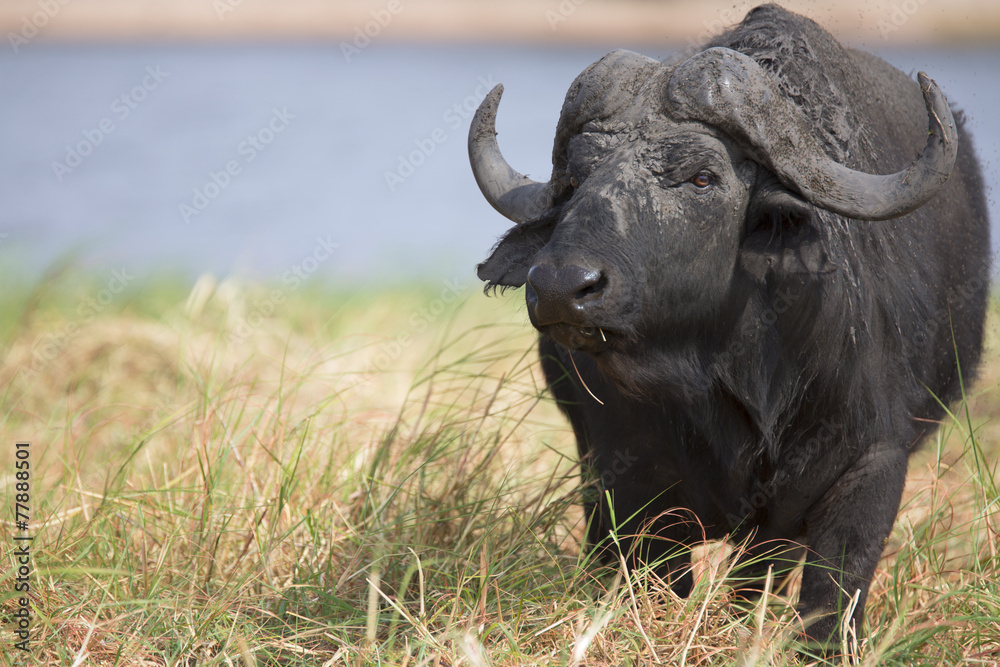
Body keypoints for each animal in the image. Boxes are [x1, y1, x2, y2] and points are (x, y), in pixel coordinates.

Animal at [467, 3, 990, 649]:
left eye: (701, 178)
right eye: (574, 181)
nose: (563, 286)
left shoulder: (871, 466)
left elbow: (831, 602)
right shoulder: (624, 479)